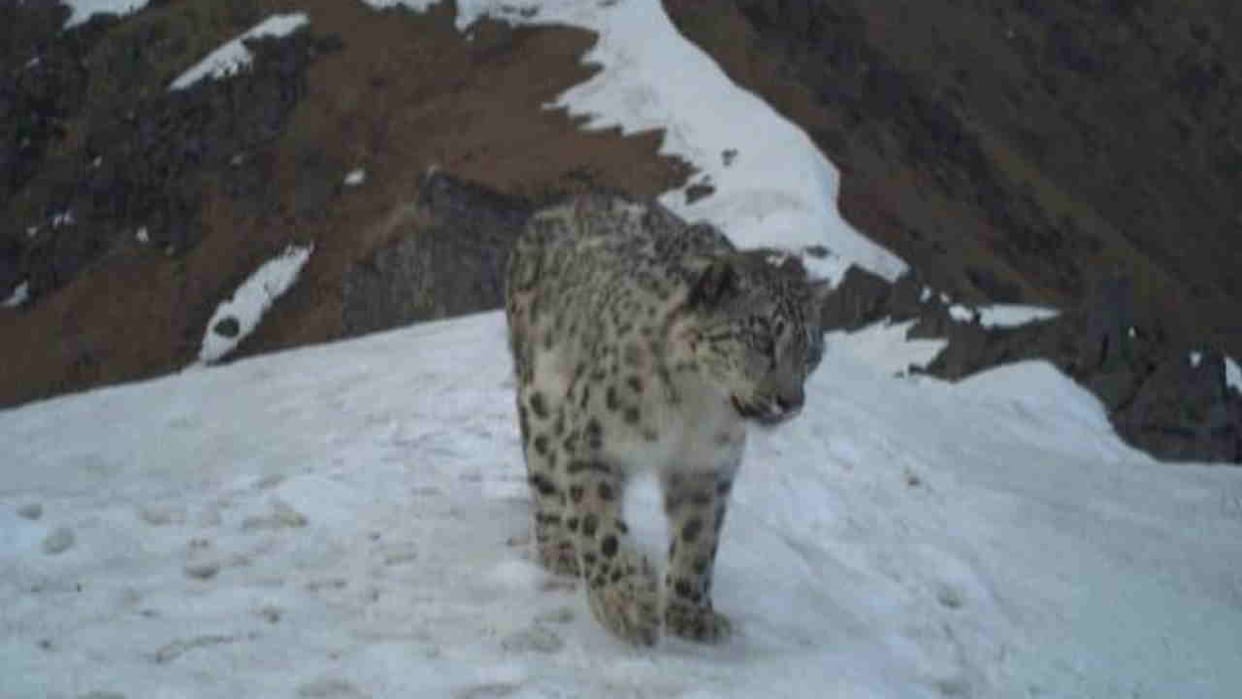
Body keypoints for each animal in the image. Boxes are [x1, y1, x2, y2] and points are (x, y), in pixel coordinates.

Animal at [504, 192, 829, 646]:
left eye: (812, 352)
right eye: (762, 337)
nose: (791, 401)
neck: (695, 407)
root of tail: (562, 204)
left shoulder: (707, 467)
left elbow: (698, 539)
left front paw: (691, 614)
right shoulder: (590, 438)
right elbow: (598, 523)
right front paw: (625, 603)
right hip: (540, 395)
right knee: (545, 475)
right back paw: (561, 549)